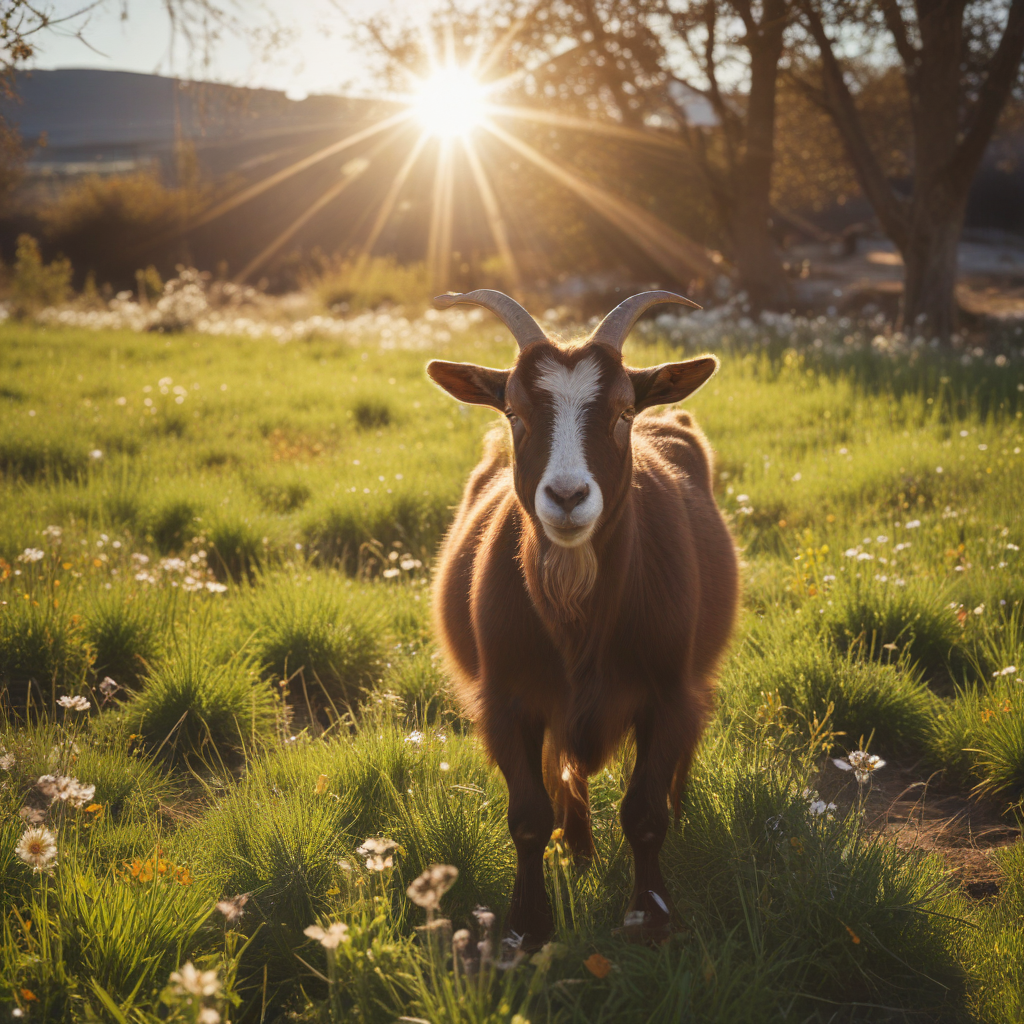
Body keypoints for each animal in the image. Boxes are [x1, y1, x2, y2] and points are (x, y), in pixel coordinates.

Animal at [427, 289, 739, 947]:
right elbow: (528, 814)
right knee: (564, 770)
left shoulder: (667, 693)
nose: (568, 497)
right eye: (514, 411)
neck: (577, 613)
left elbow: (645, 813)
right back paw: (578, 847)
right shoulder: (507, 701)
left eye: (623, 411)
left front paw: (651, 915)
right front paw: (526, 928)